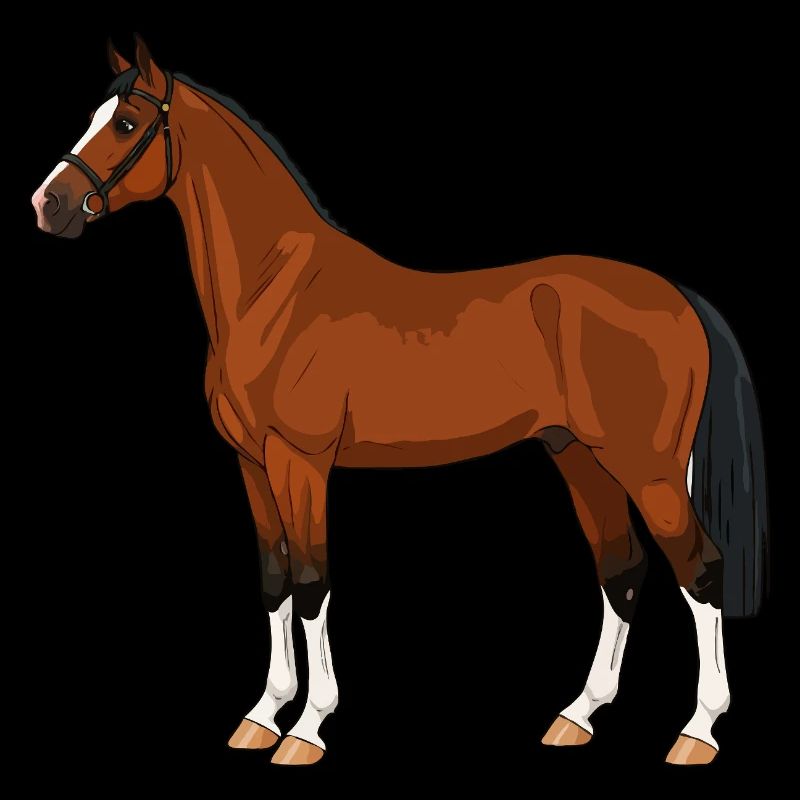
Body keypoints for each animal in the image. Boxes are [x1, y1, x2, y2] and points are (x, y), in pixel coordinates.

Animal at [31, 36, 767, 767]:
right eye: (96, 116)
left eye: (126, 124)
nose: (48, 204)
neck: (274, 291)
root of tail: (678, 296)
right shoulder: (251, 464)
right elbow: (273, 580)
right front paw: (261, 716)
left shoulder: (301, 462)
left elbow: (312, 582)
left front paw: (306, 729)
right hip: (579, 456)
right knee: (623, 569)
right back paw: (576, 716)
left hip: (648, 468)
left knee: (700, 570)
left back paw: (696, 732)